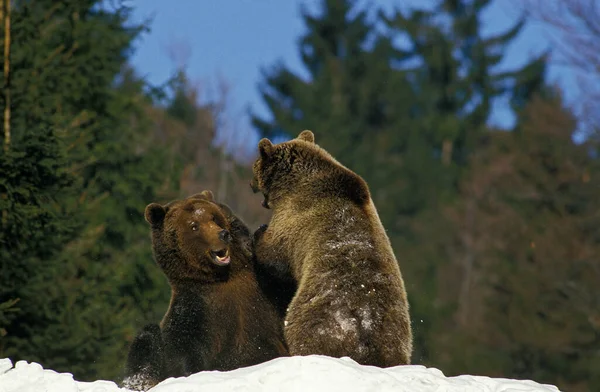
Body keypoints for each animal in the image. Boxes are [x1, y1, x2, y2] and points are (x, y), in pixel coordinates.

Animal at [122, 191, 288, 390]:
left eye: (214, 217)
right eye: (194, 226)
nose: (223, 234)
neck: (225, 277)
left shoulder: (268, 290)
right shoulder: (196, 311)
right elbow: (183, 353)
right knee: (146, 338)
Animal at [248, 130, 412, 366]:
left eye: (255, 165)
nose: (250, 183)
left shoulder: (296, 220)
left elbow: (274, 253)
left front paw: (258, 233)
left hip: (315, 320)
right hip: (396, 340)